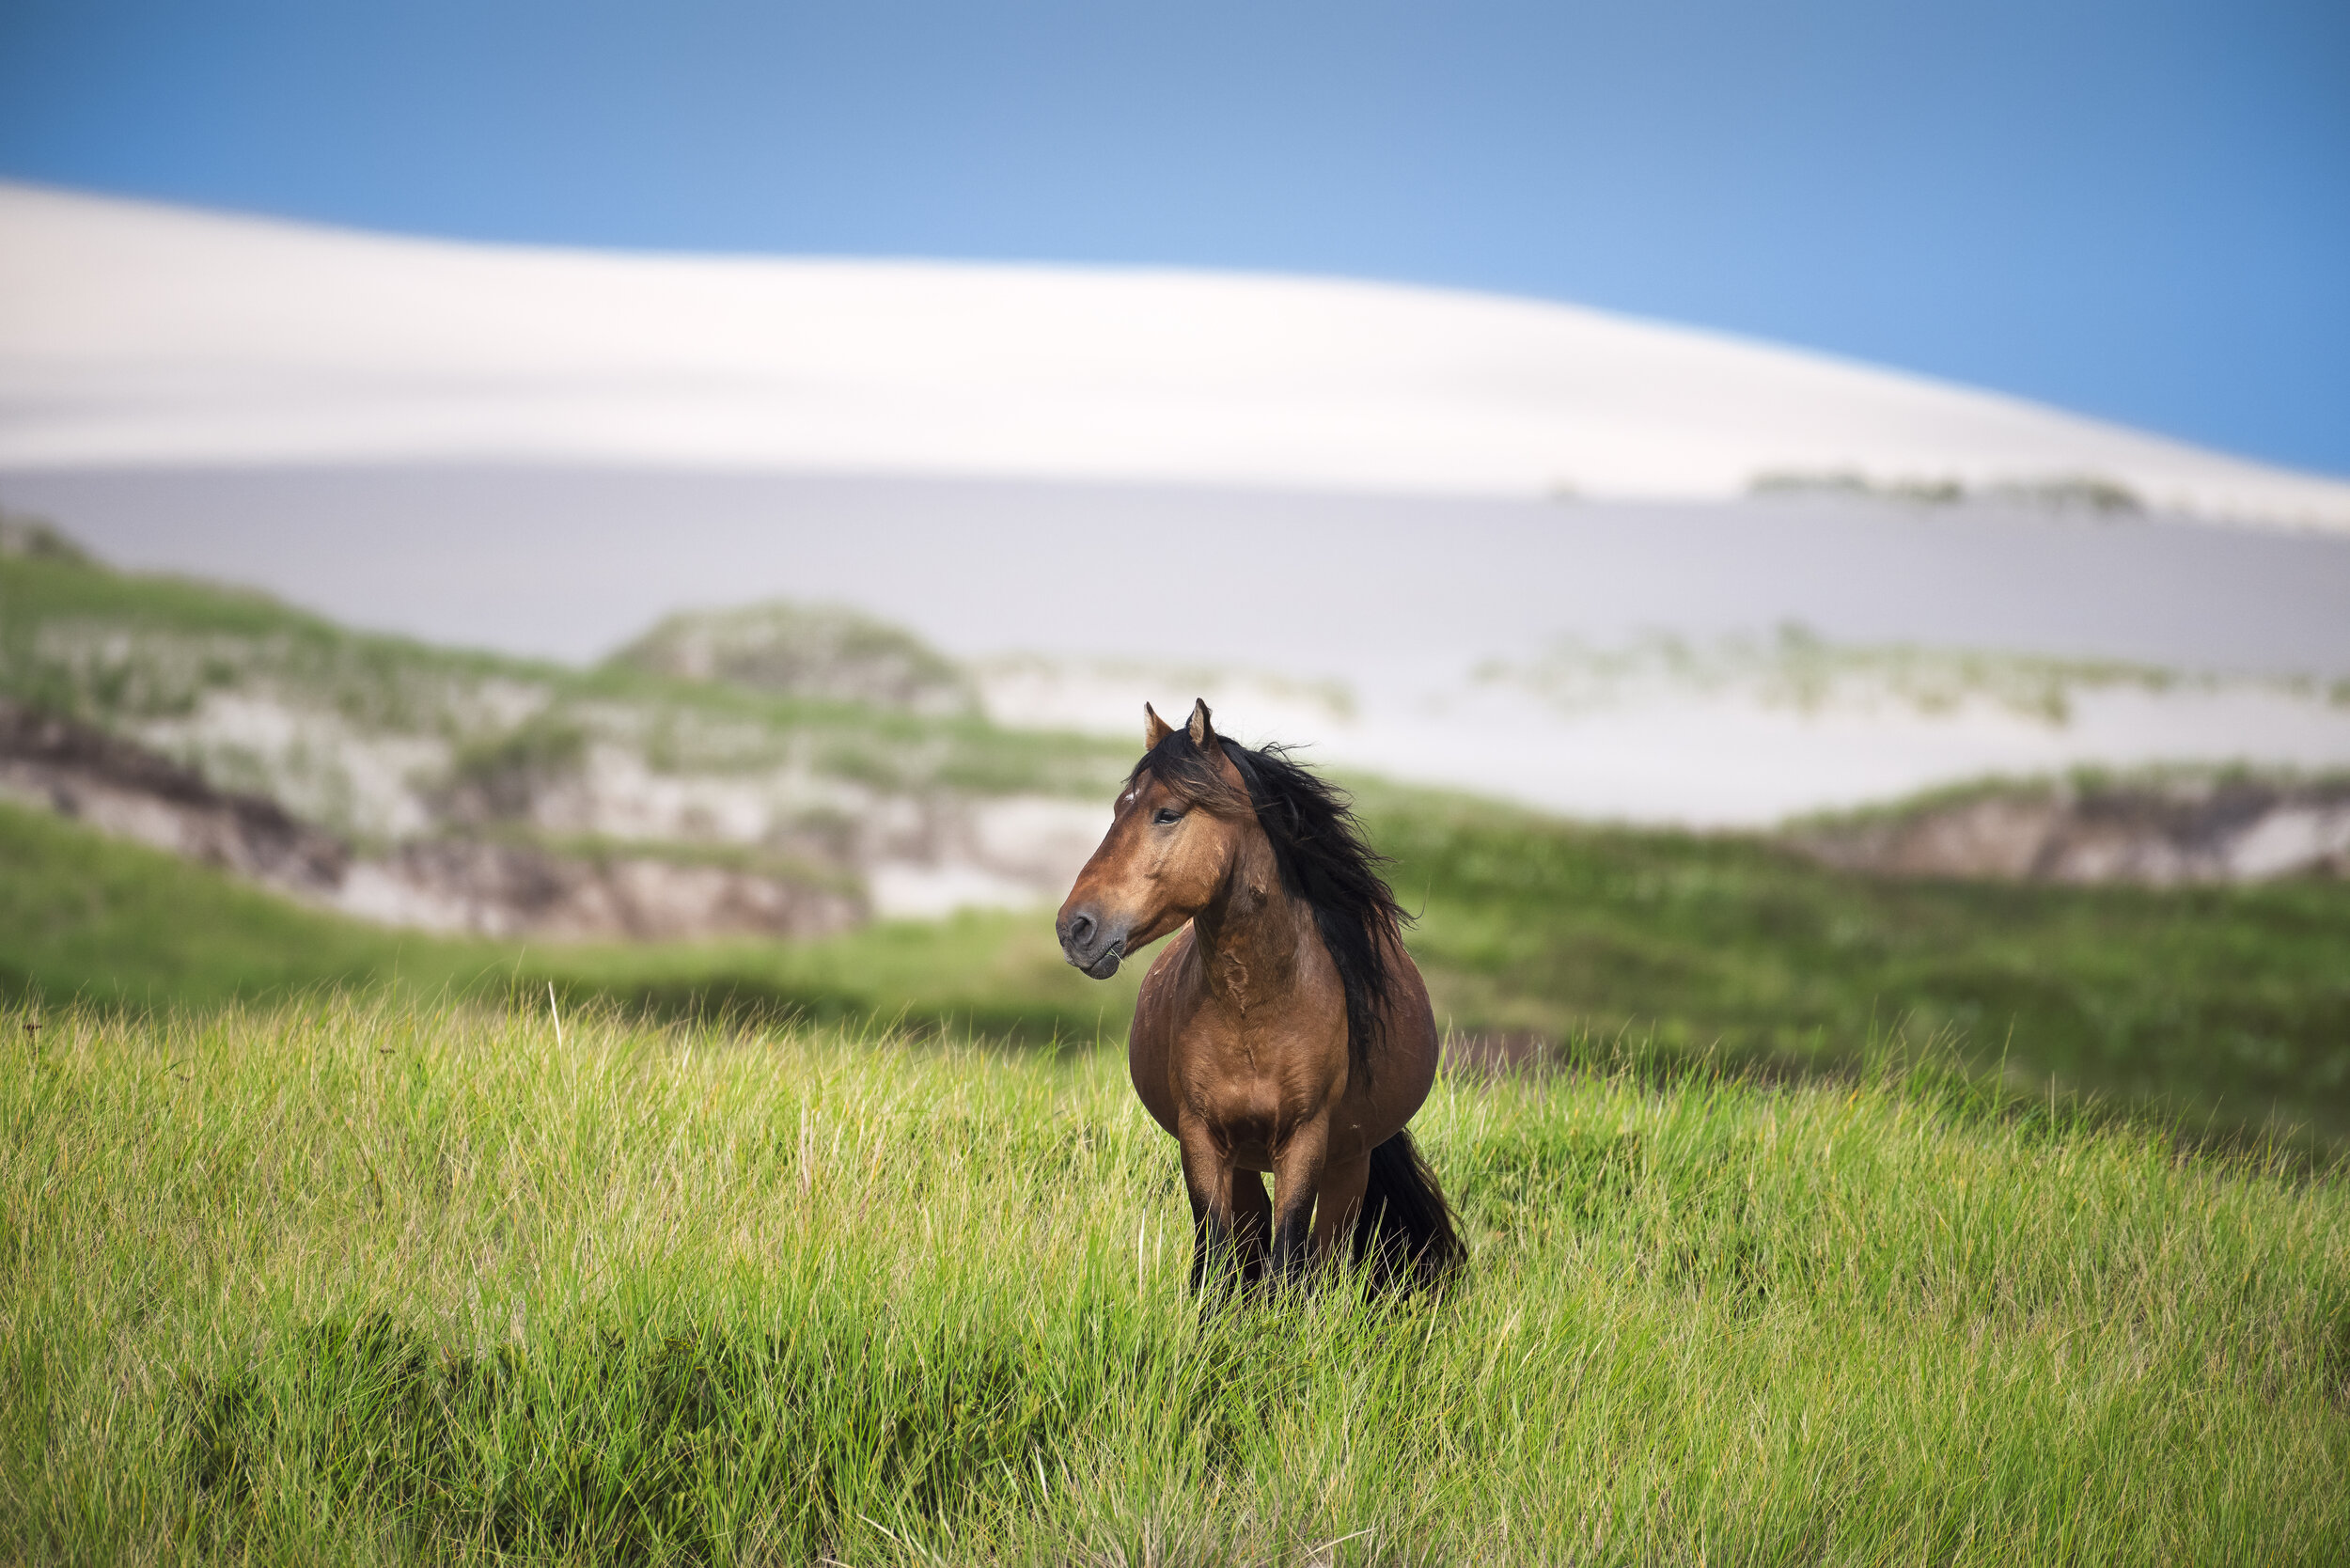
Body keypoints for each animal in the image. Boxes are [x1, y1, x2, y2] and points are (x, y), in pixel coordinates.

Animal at [1056, 698, 1465, 1293]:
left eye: (1167, 814)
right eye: (1117, 809)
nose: (1074, 929)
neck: (1255, 1012)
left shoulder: (1305, 1142)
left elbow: (1289, 1257)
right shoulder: (1202, 1138)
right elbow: (1216, 1254)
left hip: (1349, 1162)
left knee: (1327, 1254)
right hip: (1248, 1160)